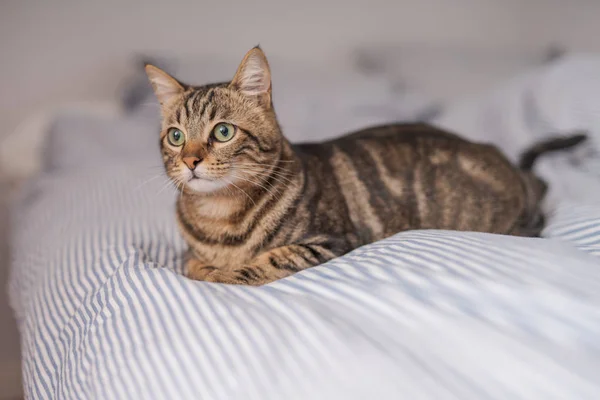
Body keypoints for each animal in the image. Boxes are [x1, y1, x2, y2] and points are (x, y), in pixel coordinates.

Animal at [145, 46, 584, 284]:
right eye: (176, 137)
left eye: (222, 132)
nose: (191, 160)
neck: (219, 217)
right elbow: (190, 259)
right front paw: (203, 265)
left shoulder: (329, 242)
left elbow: (260, 262)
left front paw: (218, 273)